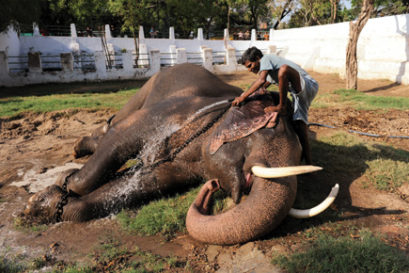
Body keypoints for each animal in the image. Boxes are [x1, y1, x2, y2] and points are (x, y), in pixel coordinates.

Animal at [24, 62, 338, 244]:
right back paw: (79, 148)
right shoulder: (171, 112)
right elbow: (121, 138)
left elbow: (151, 181)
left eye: (299, 155)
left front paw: (50, 207)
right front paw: (48, 195)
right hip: (148, 85)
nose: (211, 188)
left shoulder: (185, 163)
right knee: (114, 123)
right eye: (269, 131)